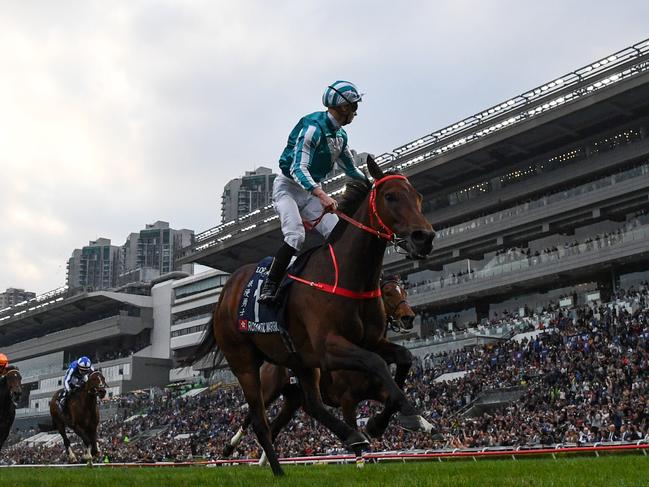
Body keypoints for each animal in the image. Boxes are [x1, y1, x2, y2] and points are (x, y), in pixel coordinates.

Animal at [223, 276, 416, 460]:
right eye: (388, 293)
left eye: (404, 292)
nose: (408, 318)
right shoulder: (347, 400)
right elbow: (355, 431)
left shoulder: (377, 391)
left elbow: (393, 402)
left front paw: (377, 425)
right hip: (270, 390)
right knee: (252, 414)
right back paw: (230, 446)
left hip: (293, 399)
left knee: (277, 424)